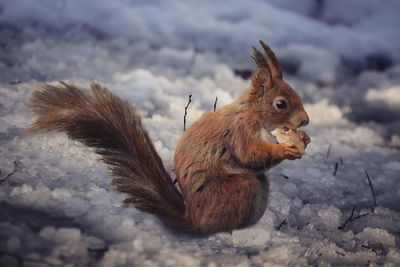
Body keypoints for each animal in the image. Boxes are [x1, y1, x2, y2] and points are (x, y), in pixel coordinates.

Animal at [28, 40, 310, 236]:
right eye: (281, 104)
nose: (305, 121)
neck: (253, 115)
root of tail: (193, 218)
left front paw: (303, 139)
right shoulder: (240, 131)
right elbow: (250, 155)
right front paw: (286, 150)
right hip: (242, 188)